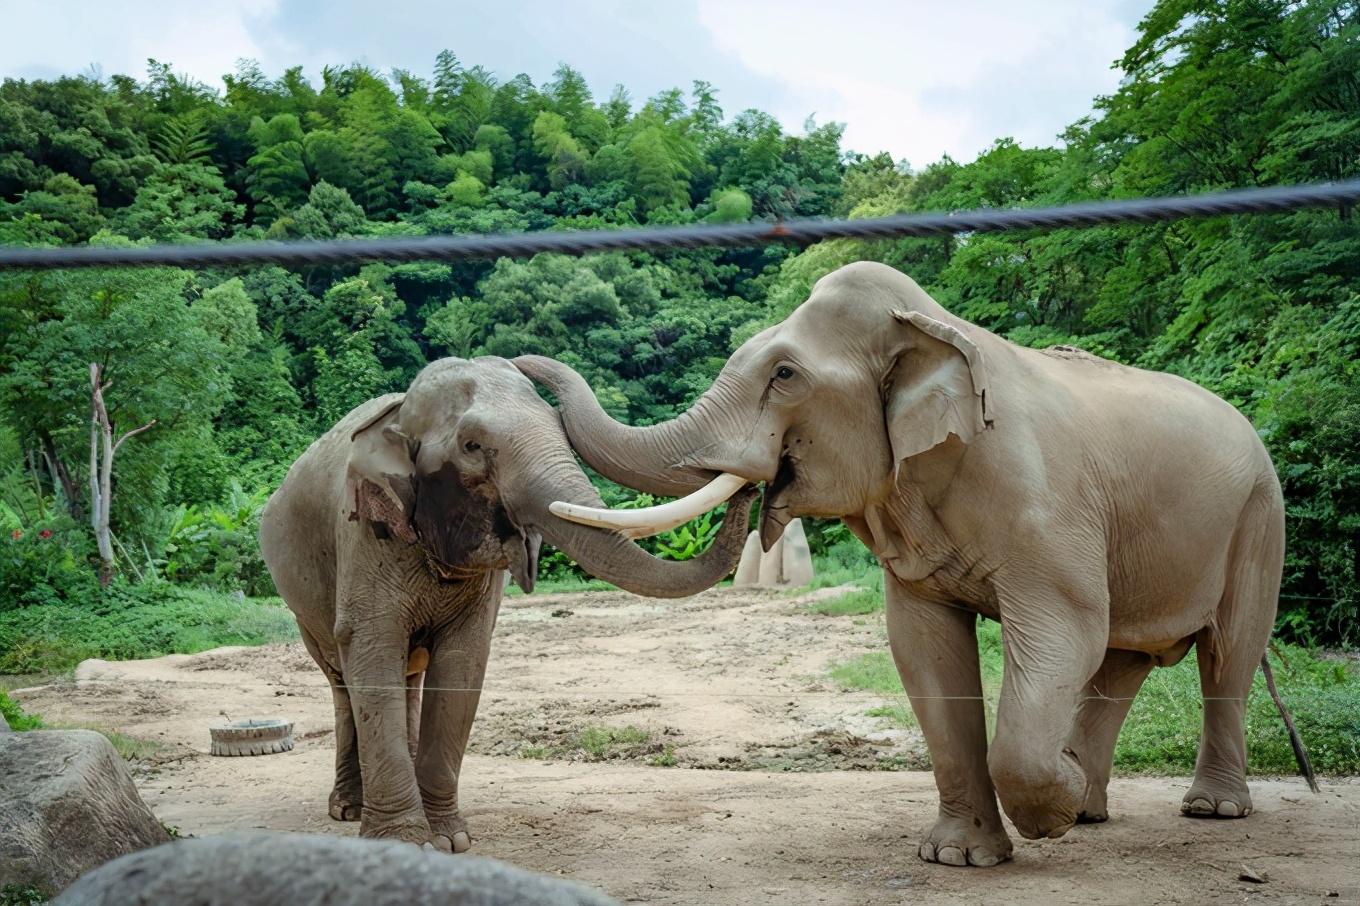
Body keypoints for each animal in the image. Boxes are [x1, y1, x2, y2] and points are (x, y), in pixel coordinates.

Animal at [259, 356, 761, 848]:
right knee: (342, 680)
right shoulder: (365, 534)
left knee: (408, 677)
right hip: (302, 606)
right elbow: (371, 647)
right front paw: (404, 843)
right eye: (472, 445)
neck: (399, 417)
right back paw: (347, 809)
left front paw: (449, 841)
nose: (751, 487)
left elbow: (462, 663)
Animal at [514, 259, 1289, 859]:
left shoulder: (1049, 514)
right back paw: (1093, 805)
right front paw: (961, 856)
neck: (936, 328)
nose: (521, 363)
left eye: (785, 374)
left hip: (1261, 517)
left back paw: (1208, 810)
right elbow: (924, 647)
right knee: (1124, 662)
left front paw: (1051, 809)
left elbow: (1065, 629)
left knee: (1228, 653)